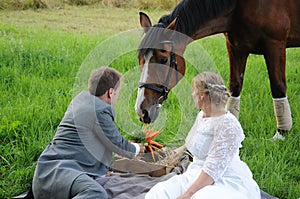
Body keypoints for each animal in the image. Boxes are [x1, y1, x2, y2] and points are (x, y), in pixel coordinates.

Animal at [135, 0, 298, 138]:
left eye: (163, 60)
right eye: (139, 59)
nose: (141, 111)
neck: (241, 6)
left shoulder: (275, 45)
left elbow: (277, 87)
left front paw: (282, 133)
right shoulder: (236, 47)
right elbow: (235, 86)